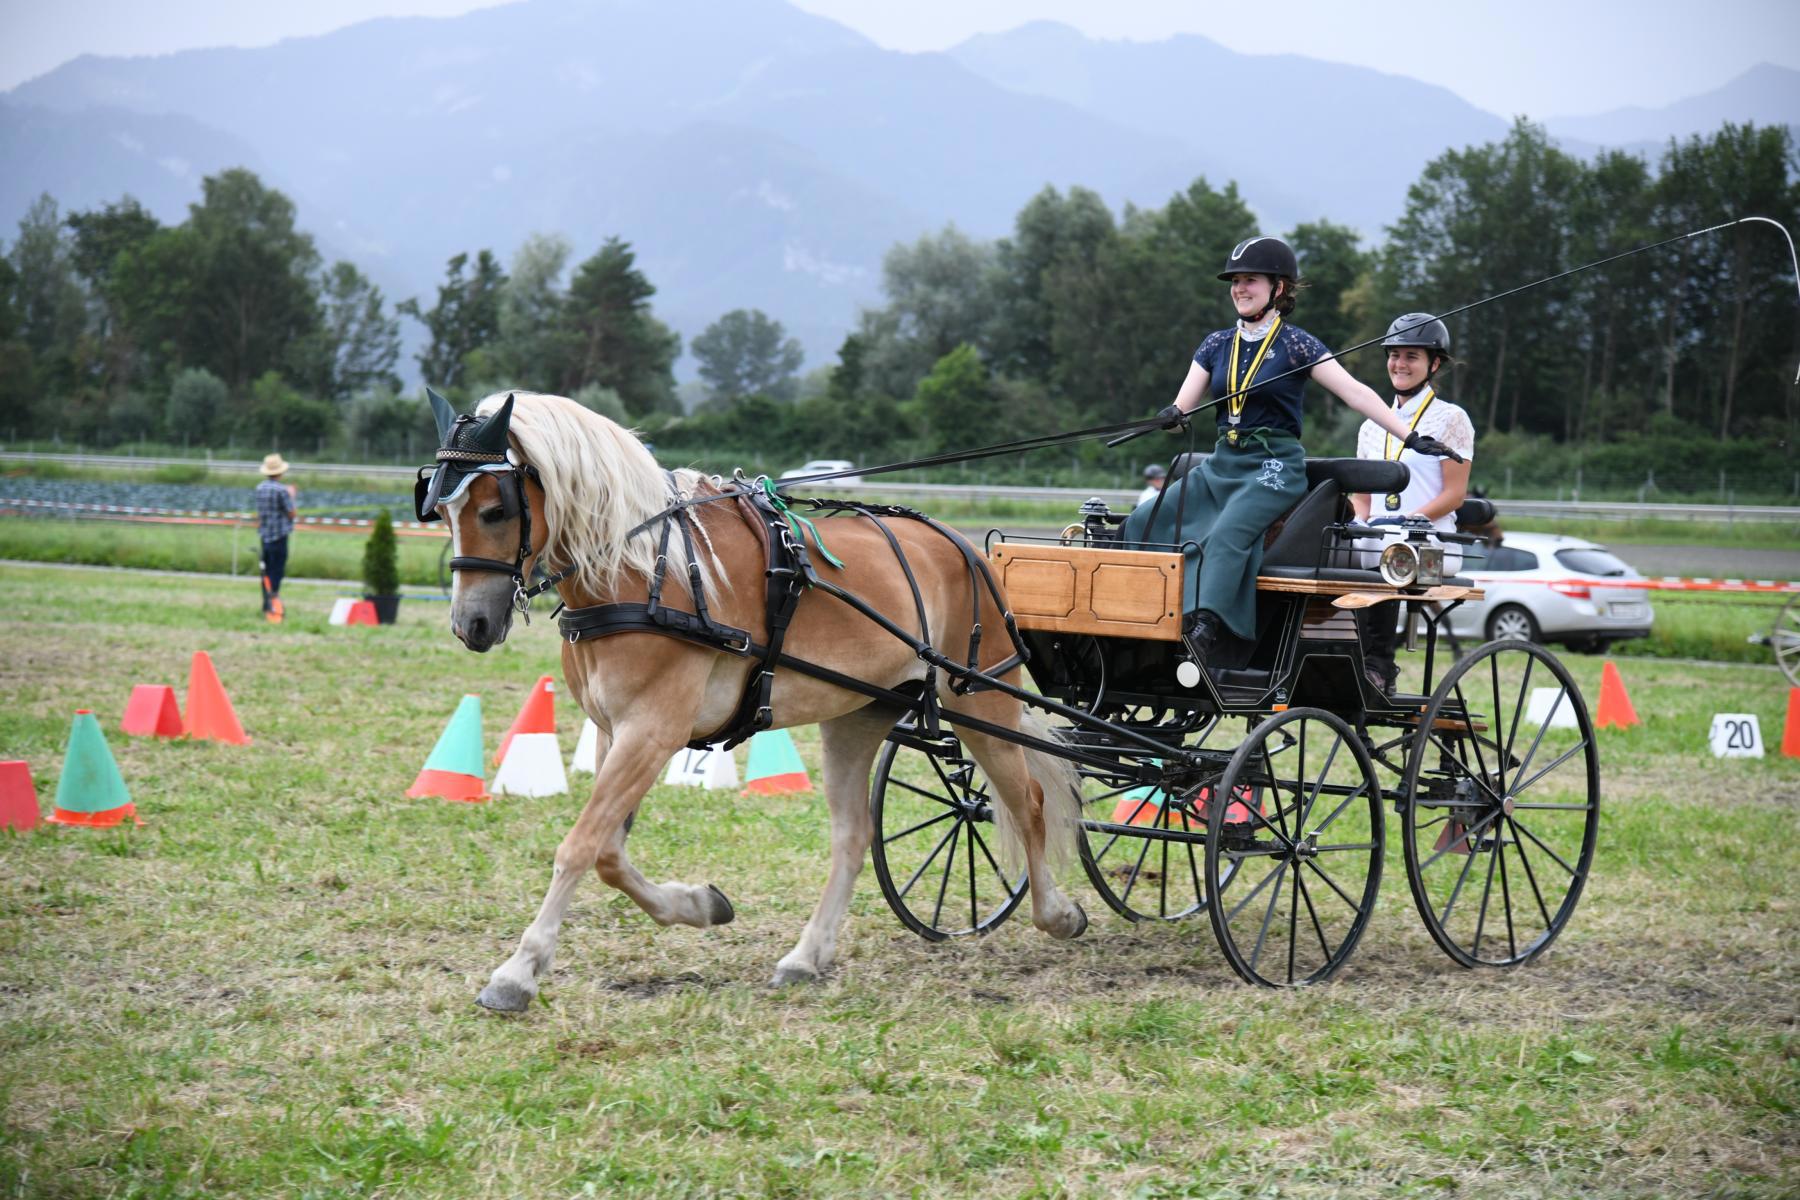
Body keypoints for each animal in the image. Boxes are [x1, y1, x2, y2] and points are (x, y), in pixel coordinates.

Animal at [421, 390, 1088, 1012]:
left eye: (496, 508)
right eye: (439, 508)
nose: (470, 625)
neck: (643, 571)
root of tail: (965, 547)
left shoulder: (652, 731)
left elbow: (580, 846)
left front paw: (516, 973)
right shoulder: (615, 731)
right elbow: (608, 851)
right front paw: (699, 905)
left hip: (978, 699)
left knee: (1026, 802)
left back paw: (1057, 914)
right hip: (857, 716)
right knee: (853, 835)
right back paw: (806, 956)